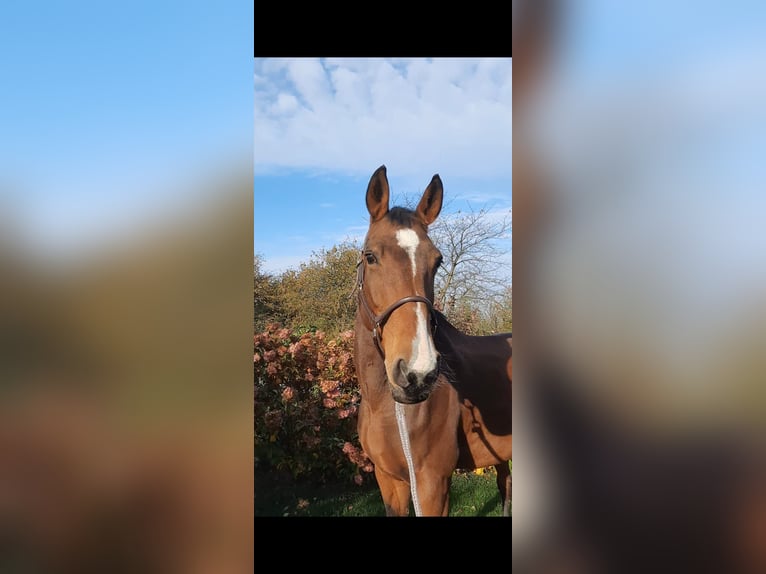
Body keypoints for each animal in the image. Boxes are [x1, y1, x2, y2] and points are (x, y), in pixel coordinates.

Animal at [356, 165, 516, 516]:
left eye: (438, 260)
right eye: (370, 256)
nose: (417, 374)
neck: (386, 406)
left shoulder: (431, 484)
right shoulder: (389, 481)